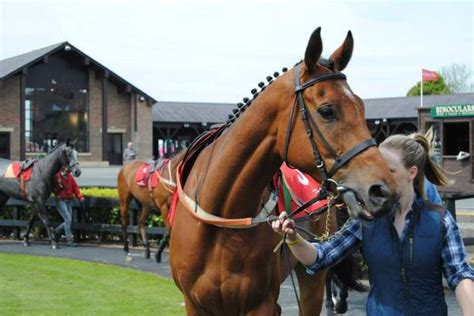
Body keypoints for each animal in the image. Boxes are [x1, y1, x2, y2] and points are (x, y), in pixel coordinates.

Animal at [168, 27, 398, 316]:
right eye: (327, 110)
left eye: (361, 107)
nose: (381, 190)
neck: (222, 220)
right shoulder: (195, 303)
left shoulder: (261, 303)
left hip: (312, 280)